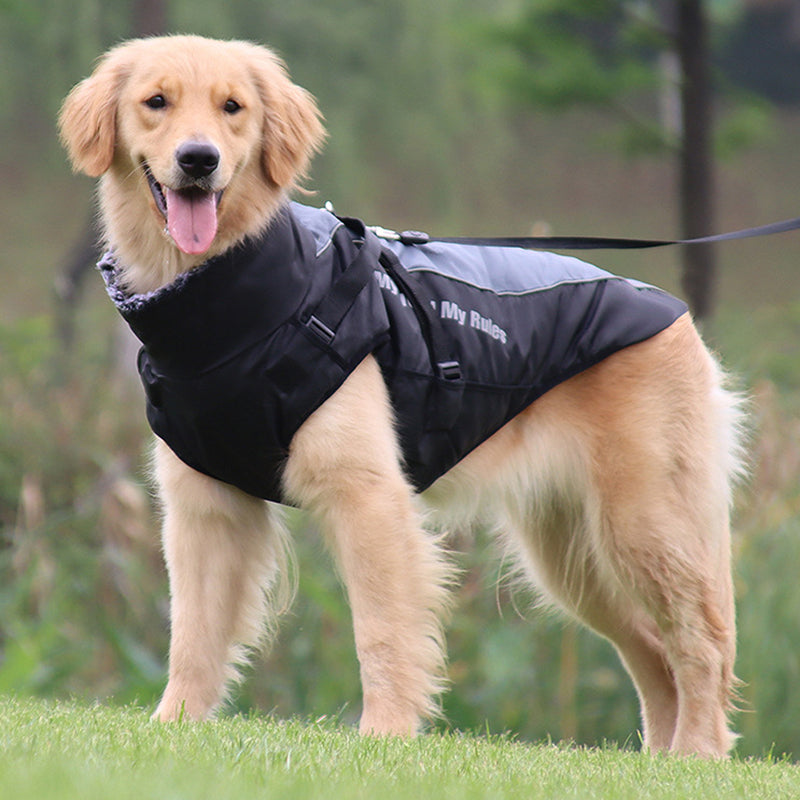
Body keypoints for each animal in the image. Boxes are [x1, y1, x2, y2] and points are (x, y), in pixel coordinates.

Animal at [59, 34, 748, 756]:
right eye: (155, 102)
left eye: (233, 108)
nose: (199, 160)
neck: (225, 306)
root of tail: (675, 315)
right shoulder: (205, 507)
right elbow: (192, 634)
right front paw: (175, 725)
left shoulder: (367, 496)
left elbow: (383, 632)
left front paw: (384, 736)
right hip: (575, 556)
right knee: (652, 652)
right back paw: (663, 761)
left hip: (647, 527)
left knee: (702, 643)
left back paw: (698, 754)